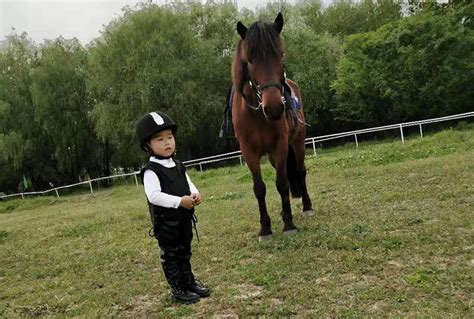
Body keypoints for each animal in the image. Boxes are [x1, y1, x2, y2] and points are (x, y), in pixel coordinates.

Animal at [231, 13, 312, 242]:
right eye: (250, 59)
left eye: (280, 54)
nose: (274, 107)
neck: (258, 114)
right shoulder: (249, 152)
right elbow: (259, 188)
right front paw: (265, 228)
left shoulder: (281, 145)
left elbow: (282, 183)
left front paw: (289, 224)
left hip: (297, 143)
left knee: (300, 171)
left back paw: (307, 206)